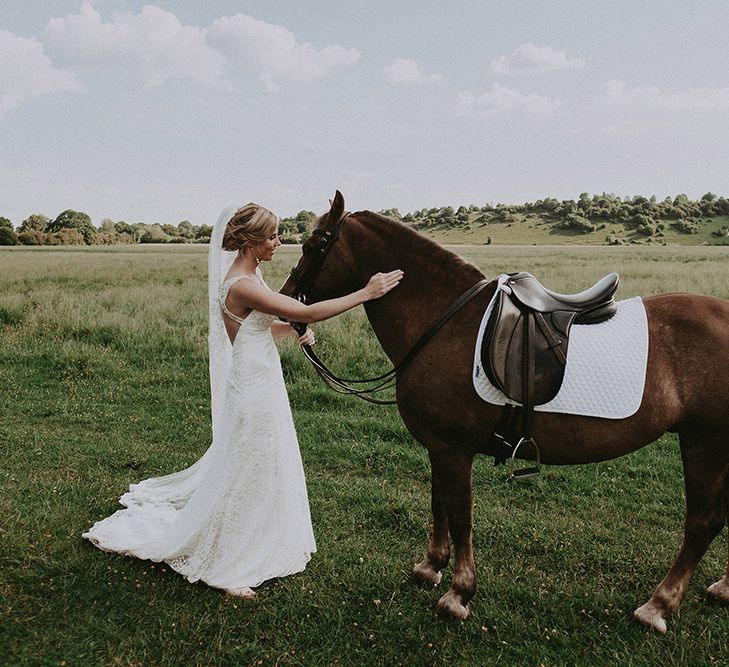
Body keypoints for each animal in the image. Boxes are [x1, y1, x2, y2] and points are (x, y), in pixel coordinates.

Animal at [278, 192, 728, 632]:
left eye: (313, 246)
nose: (284, 302)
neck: (442, 319)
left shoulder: (453, 449)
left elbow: (460, 515)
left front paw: (458, 594)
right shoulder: (439, 447)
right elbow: (439, 502)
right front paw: (431, 566)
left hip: (705, 443)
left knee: (702, 523)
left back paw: (658, 605)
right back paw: (720, 588)